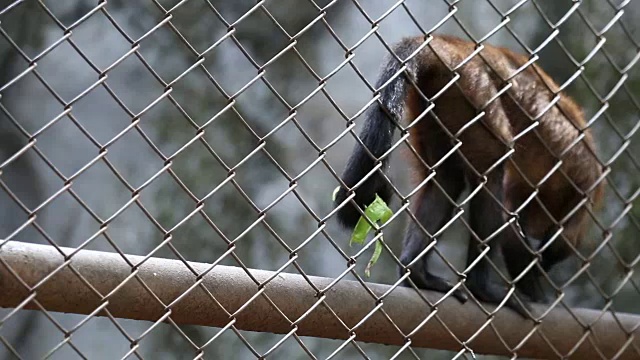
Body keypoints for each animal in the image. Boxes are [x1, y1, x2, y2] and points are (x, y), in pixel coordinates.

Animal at [332, 33, 604, 316]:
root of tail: (448, 45)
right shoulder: (583, 192)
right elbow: (539, 234)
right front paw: (537, 285)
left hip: (436, 98)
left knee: (446, 178)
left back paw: (417, 272)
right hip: (473, 88)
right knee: (492, 167)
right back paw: (480, 286)